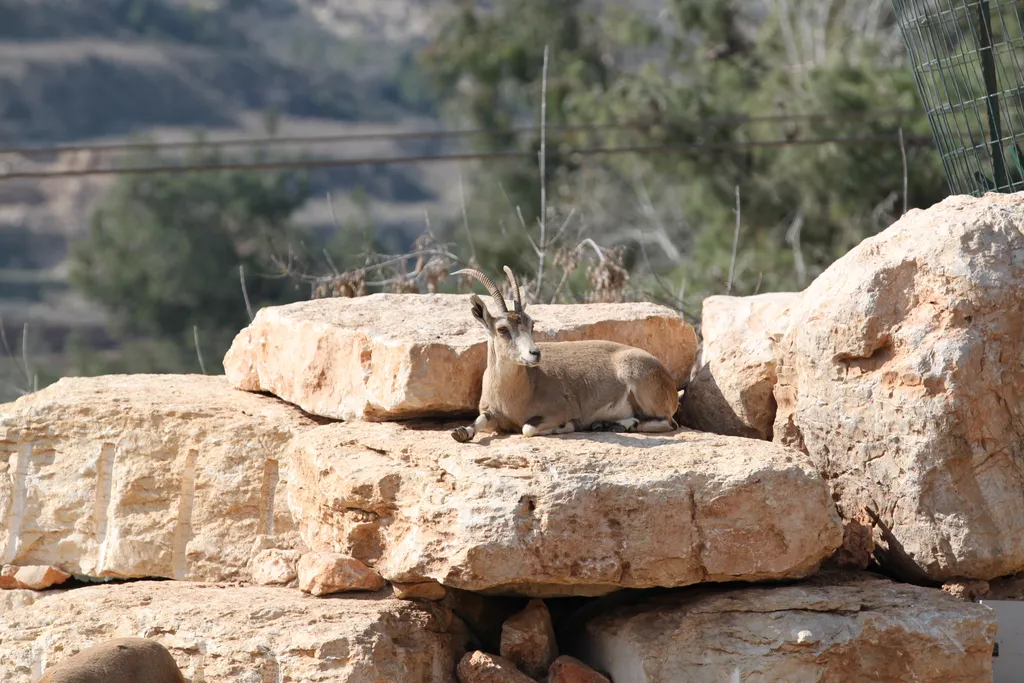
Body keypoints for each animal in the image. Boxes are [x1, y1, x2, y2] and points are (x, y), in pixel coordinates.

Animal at [450, 266, 680, 442]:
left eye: (531, 324)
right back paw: (605, 425)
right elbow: (478, 422)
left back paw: (621, 425)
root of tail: (667, 379)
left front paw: (567, 426)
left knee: (668, 422)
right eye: (502, 329)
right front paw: (461, 432)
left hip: (639, 382)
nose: (535, 353)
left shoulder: (558, 409)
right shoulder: (490, 413)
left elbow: (528, 428)